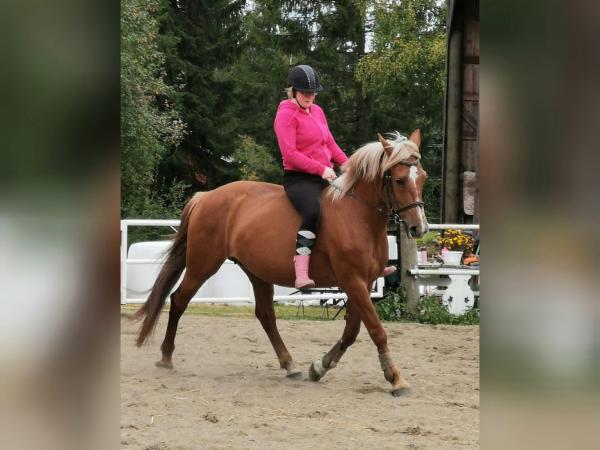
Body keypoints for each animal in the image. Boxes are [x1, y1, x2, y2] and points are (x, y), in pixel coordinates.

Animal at [133, 130, 428, 396]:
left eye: (422, 177)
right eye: (400, 180)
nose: (419, 228)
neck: (357, 215)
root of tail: (206, 197)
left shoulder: (363, 284)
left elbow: (352, 331)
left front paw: (319, 367)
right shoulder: (352, 281)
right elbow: (376, 330)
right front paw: (396, 378)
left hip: (256, 271)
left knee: (265, 315)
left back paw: (290, 364)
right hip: (202, 265)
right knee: (178, 300)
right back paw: (166, 356)